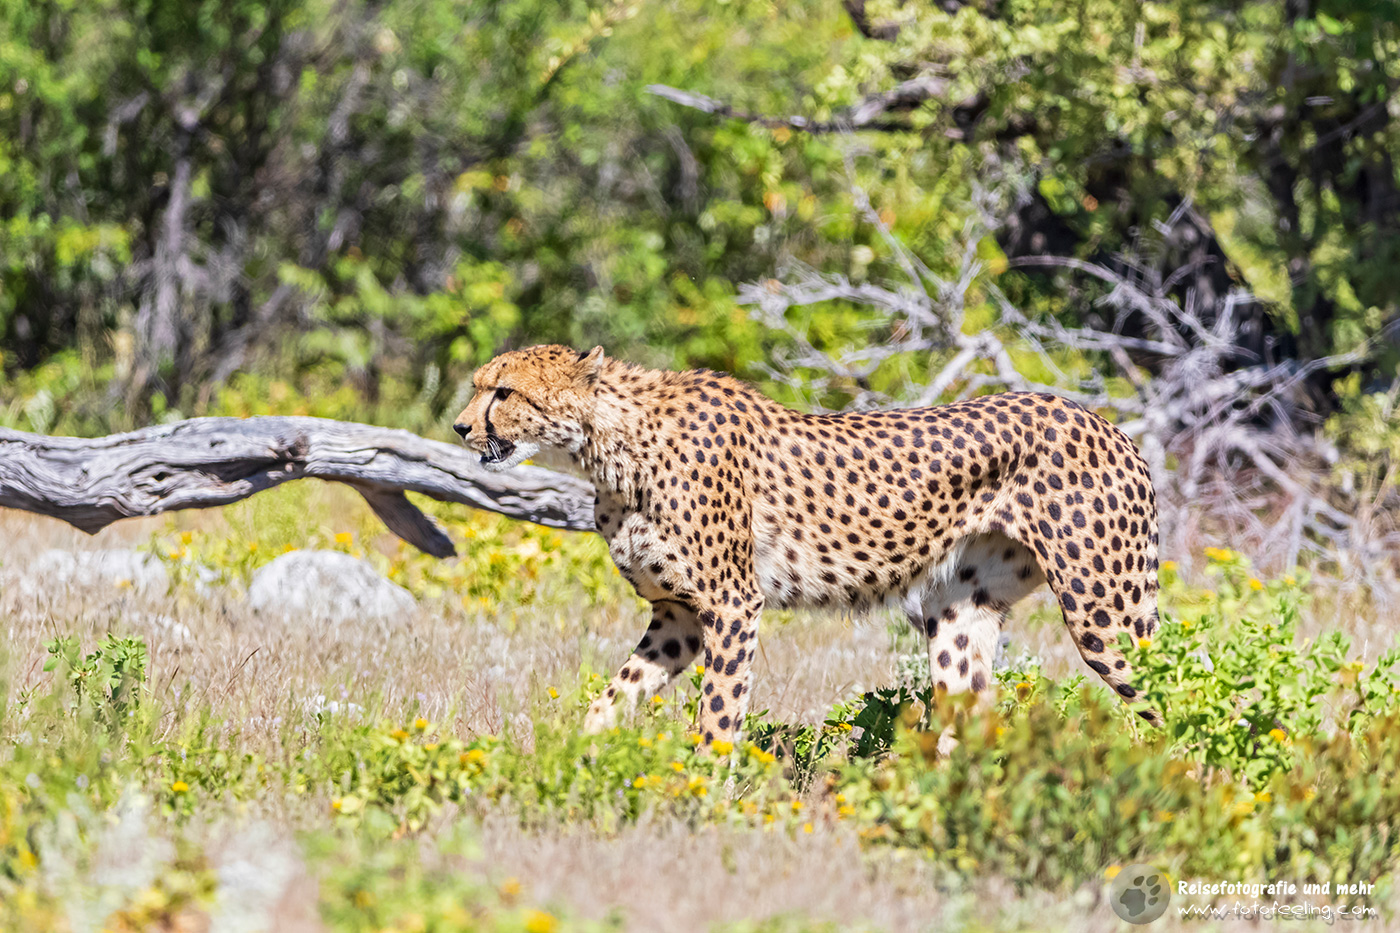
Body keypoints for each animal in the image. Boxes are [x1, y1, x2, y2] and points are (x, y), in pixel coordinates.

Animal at [453, 344, 1161, 747]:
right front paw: (572, 754)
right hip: (959, 613)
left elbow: (718, 713)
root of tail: (1104, 421)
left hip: (1106, 610)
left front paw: (705, 799)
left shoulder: (732, 604)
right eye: (478, 384)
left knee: (1175, 687)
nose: (459, 427)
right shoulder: (677, 616)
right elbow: (614, 695)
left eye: (504, 391)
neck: (610, 444)